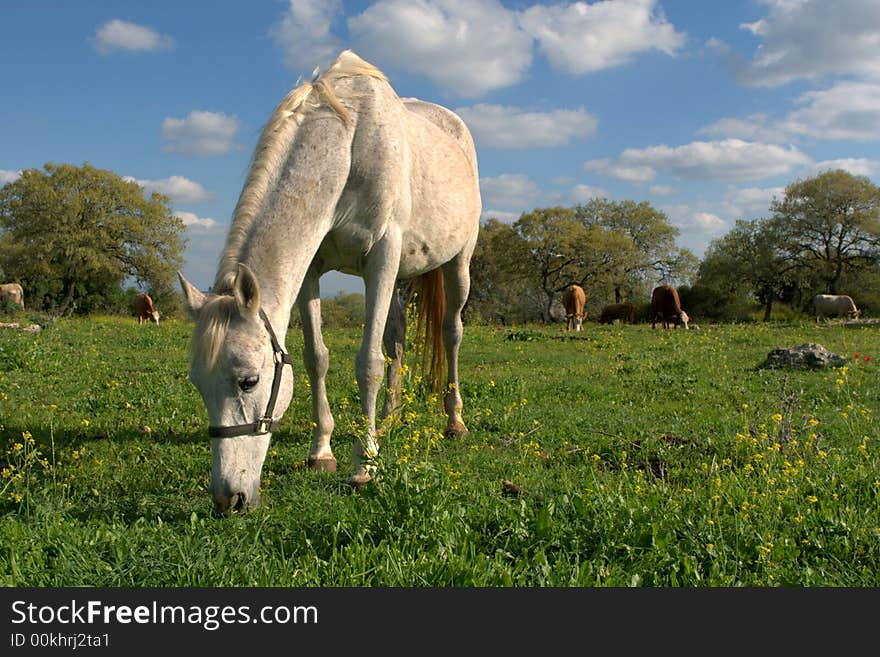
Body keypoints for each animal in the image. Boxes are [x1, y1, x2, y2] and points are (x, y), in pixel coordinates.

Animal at [178, 50, 482, 512]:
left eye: (249, 381)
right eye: (198, 383)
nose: (229, 498)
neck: (348, 145)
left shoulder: (381, 258)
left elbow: (368, 363)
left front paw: (365, 464)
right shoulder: (312, 271)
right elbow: (316, 358)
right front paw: (322, 450)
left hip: (456, 265)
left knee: (451, 334)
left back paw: (454, 420)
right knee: (397, 337)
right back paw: (389, 418)